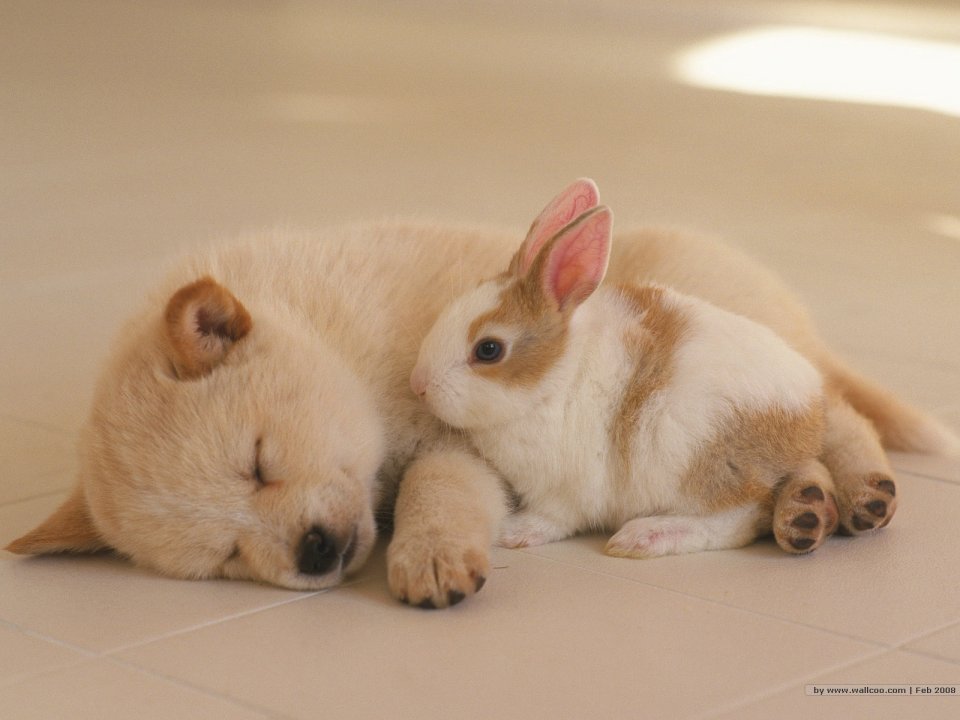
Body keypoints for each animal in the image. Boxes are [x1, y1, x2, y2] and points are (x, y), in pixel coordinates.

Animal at [412, 182, 854, 557]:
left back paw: (643, 537)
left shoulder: (565, 492)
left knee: (737, 519)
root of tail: (809, 417)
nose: (419, 385)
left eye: (488, 350)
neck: (553, 380)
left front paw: (512, 533)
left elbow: (553, 519)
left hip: (694, 461)